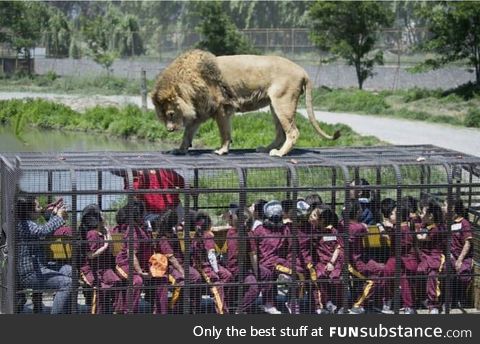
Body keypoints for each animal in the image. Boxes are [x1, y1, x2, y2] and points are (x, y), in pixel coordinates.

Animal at [152, 49, 340, 157]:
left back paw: (279, 153)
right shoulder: (200, 112)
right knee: (281, 133)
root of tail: (303, 71)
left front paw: (222, 150)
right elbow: (187, 134)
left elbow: (224, 132)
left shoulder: (222, 108)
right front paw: (179, 149)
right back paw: (265, 149)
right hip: (274, 106)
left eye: (171, 114)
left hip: (283, 102)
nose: (169, 129)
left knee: (293, 132)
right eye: (162, 116)